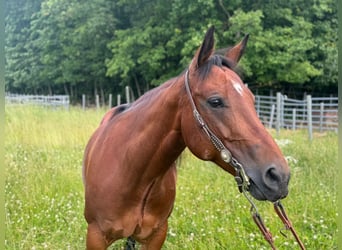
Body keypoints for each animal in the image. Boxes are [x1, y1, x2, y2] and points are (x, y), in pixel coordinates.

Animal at [82, 26, 288, 249]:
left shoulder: (157, 234)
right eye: (215, 101)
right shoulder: (95, 236)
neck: (132, 173)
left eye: (251, 99)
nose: (279, 176)